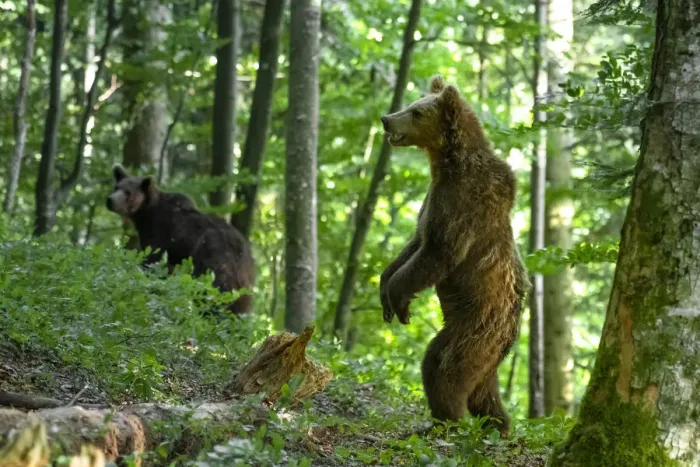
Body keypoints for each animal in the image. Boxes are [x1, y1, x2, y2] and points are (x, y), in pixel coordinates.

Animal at [106, 165, 255, 315]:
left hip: (214, 256)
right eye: (116, 187)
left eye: (128, 192)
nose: (110, 200)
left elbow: (152, 260)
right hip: (244, 281)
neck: (146, 215)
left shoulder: (159, 232)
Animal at [378, 75, 530, 437]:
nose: (386, 118)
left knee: (443, 365)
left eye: (417, 112)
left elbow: (439, 254)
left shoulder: (462, 204)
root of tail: (511, 333)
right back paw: (498, 426)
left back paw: (442, 422)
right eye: (412, 104)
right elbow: (414, 244)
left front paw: (399, 301)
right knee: (483, 392)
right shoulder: (431, 202)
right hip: (488, 352)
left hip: (477, 325)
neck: (446, 164)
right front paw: (385, 291)